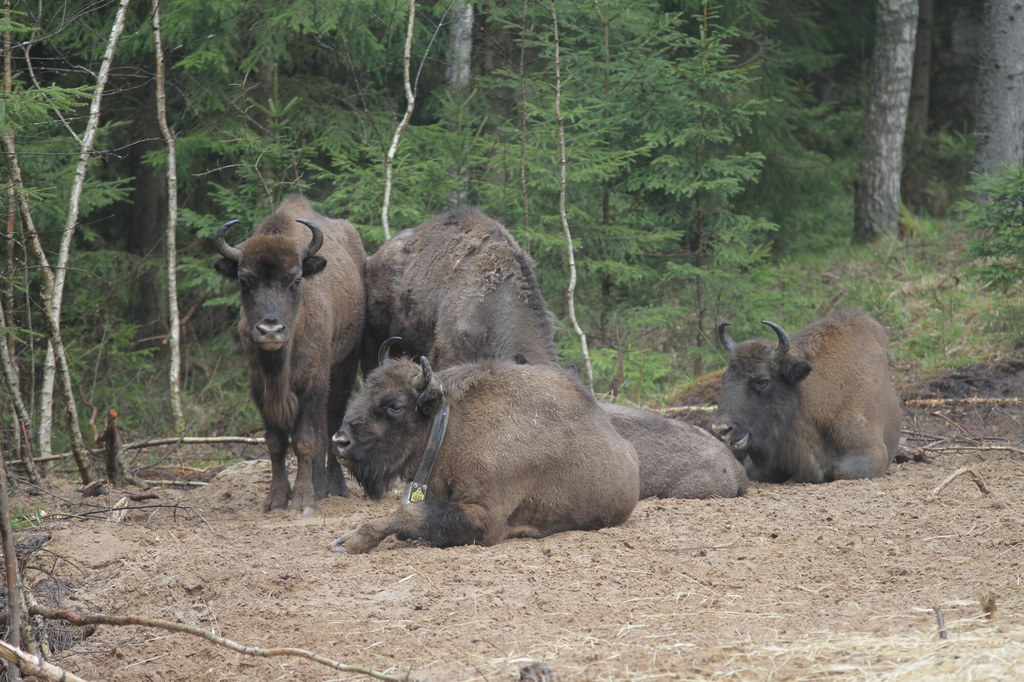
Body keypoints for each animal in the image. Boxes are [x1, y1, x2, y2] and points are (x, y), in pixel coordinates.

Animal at [211, 193, 364, 512]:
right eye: (245, 281)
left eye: (295, 279)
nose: (270, 330)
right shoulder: (260, 390)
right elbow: (276, 442)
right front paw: (277, 498)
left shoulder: (312, 384)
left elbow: (305, 440)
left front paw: (303, 500)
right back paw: (320, 486)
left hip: (344, 367)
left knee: (332, 422)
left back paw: (334, 487)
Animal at [329, 350, 638, 552]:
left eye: (395, 405)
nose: (340, 440)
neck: (452, 428)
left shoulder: (486, 518)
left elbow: (410, 513)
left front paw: (349, 541)